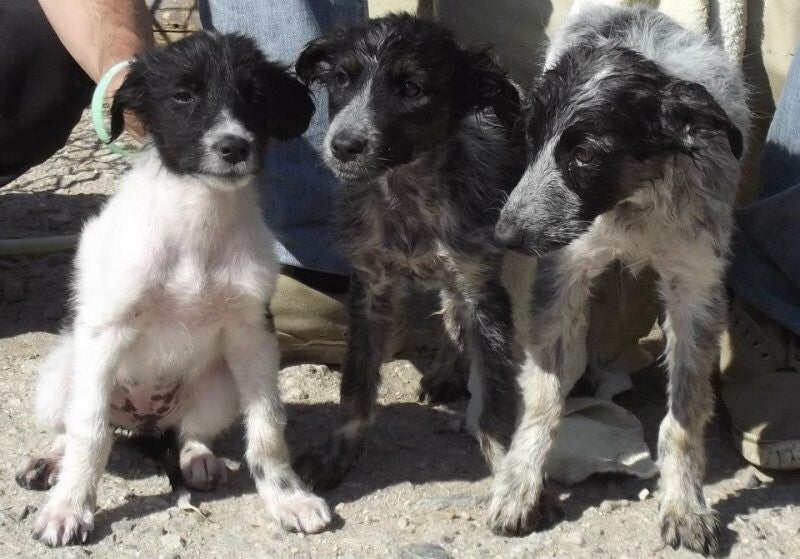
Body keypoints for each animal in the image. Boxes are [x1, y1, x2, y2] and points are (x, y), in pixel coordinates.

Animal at [14, 32, 332, 546]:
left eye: (256, 97)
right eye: (183, 96)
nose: (233, 147)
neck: (199, 219)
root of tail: (144, 421)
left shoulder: (253, 333)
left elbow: (267, 428)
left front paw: (288, 498)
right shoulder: (105, 332)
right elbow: (88, 432)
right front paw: (70, 506)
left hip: (220, 384)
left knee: (190, 431)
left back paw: (198, 459)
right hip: (61, 372)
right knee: (74, 424)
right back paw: (49, 461)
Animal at [291, 14, 525, 490]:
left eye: (412, 89)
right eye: (341, 79)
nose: (343, 146)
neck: (406, 193)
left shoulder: (482, 287)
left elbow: (494, 392)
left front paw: (504, 466)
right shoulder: (369, 289)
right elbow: (356, 385)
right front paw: (337, 455)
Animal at [488, 5, 749, 555]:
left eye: (586, 155)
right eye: (529, 140)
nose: (503, 235)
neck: (636, 204)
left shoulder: (696, 285)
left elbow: (686, 413)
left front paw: (685, 504)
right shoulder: (563, 271)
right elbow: (543, 392)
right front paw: (520, 483)